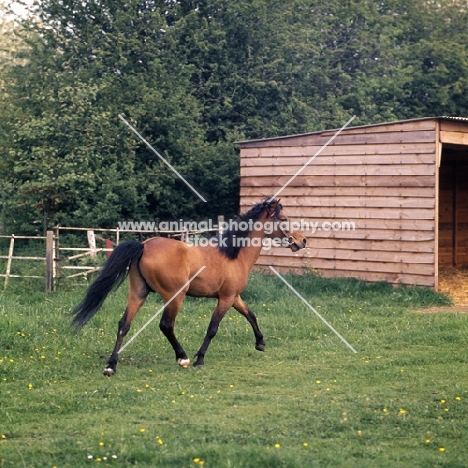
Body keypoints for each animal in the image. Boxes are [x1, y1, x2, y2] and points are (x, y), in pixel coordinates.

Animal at [68, 198, 304, 376]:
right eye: (284, 219)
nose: (302, 241)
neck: (233, 254)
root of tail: (143, 245)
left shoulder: (234, 297)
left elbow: (251, 315)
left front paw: (260, 343)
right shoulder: (226, 298)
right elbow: (213, 328)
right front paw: (200, 359)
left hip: (138, 293)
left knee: (124, 324)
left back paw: (111, 366)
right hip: (175, 296)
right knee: (166, 325)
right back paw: (183, 358)